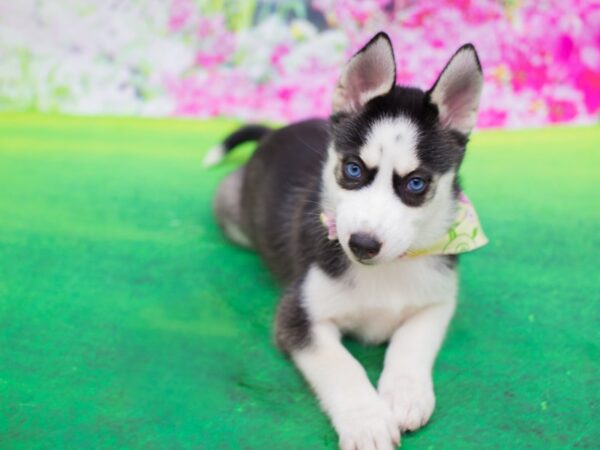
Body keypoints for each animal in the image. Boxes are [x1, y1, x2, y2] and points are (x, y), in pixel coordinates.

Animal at [206, 32, 488, 450]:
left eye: (416, 184)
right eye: (353, 169)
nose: (362, 245)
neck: (390, 269)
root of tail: (274, 133)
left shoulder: (438, 302)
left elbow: (411, 342)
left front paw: (405, 394)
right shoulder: (298, 316)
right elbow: (342, 366)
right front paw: (367, 420)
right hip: (229, 207)